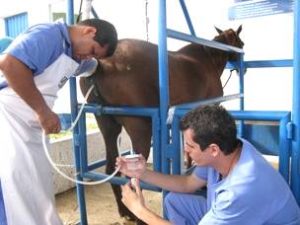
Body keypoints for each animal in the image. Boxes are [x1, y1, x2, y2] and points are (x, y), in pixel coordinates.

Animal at [79, 25, 244, 223]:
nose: (242, 64)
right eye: (239, 41)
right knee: (132, 177)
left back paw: (125, 212)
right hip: (140, 129)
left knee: (112, 169)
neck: (208, 59)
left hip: (107, 125)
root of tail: (102, 64)